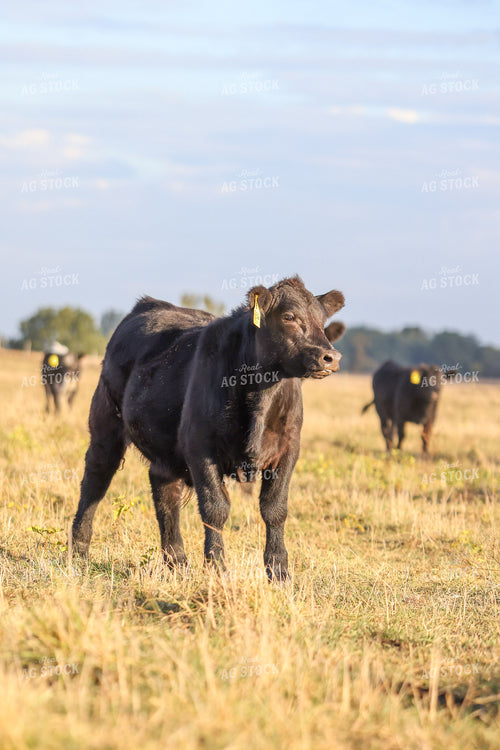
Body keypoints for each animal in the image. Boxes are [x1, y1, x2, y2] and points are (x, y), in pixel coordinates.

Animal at [71, 276, 345, 580]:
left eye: (322, 321)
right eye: (289, 317)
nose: (330, 357)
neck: (259, 395)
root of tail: (149, 304)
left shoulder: (288, 450)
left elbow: (275, 509)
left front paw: (278, 570)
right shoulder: (200, 448)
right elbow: (216, 509)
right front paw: (217, 566)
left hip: (164, 452)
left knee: (165, 495)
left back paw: (177, 563)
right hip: (105, 424)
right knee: (95, 480)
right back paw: (79, 551)